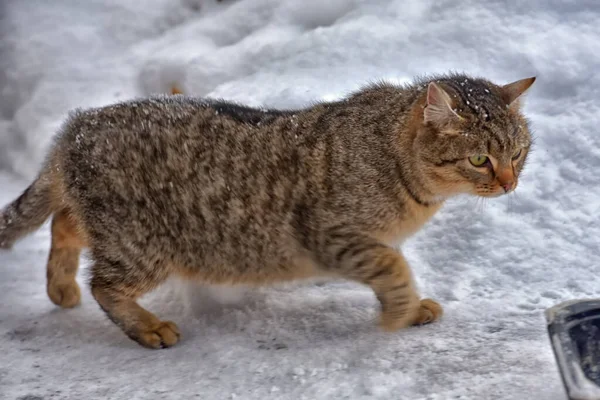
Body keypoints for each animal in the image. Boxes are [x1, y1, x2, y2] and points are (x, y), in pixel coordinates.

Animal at [0, 73, 536, 348]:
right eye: (480, 159)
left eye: (519, 152)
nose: (509, 183)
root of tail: (76, 126)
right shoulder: (331, 235)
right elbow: (392, 265)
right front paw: (401, 311)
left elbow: (393, 265)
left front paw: (409, 308)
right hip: (141, 246)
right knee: (103, 284)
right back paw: (146, 326)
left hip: (105, 225)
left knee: (64, 222)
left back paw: (60, 287)